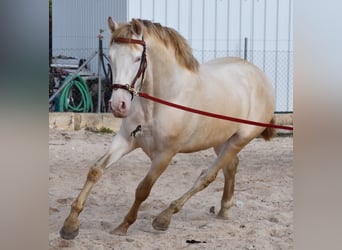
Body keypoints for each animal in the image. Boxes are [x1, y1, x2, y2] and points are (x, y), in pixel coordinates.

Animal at [59, 16, 276, 239]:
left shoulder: (165, 155)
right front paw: (70, 224)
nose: (118, 105)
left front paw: (124, 225)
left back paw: (164, 217)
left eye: (137, 58)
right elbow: (95, 171)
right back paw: (224, 209)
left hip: (239, 140)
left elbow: (143, 189)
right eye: (110, 58)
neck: (161, 100)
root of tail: (260, 76)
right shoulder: (125, 140)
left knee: (207, 176)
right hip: (220, 140)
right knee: (231, 167)